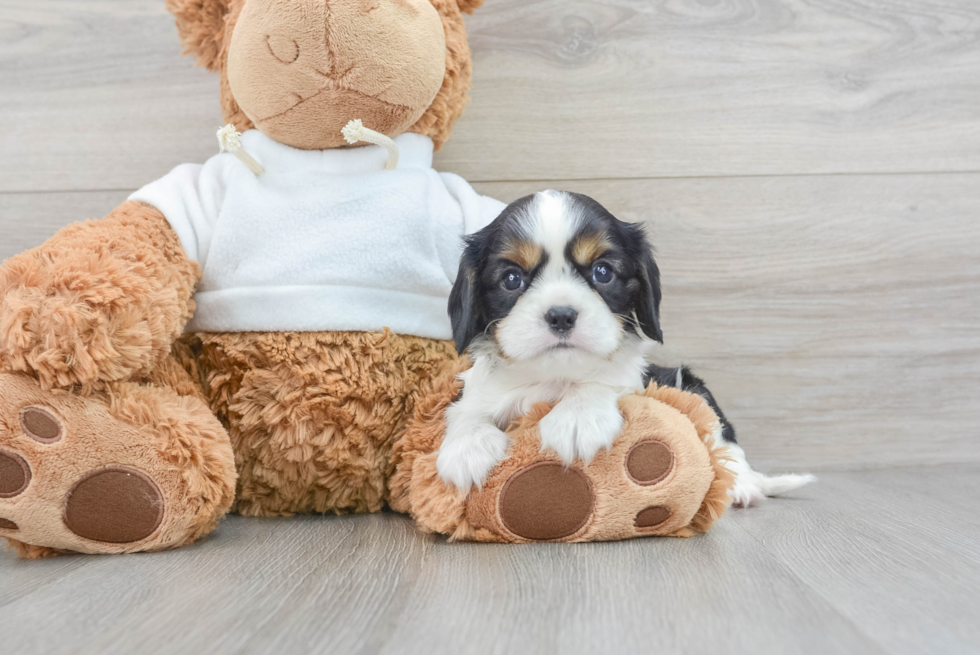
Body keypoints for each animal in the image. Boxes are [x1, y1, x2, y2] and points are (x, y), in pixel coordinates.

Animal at [436, 190, 812, 508]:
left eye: (603, 272)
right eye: (512, 279)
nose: (561, 315)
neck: (555, 377)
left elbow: (605, 380)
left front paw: (578, 416)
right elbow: (468, 410)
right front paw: (467, 447)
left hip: (695, 388)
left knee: (726, 443)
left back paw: (741, 485)